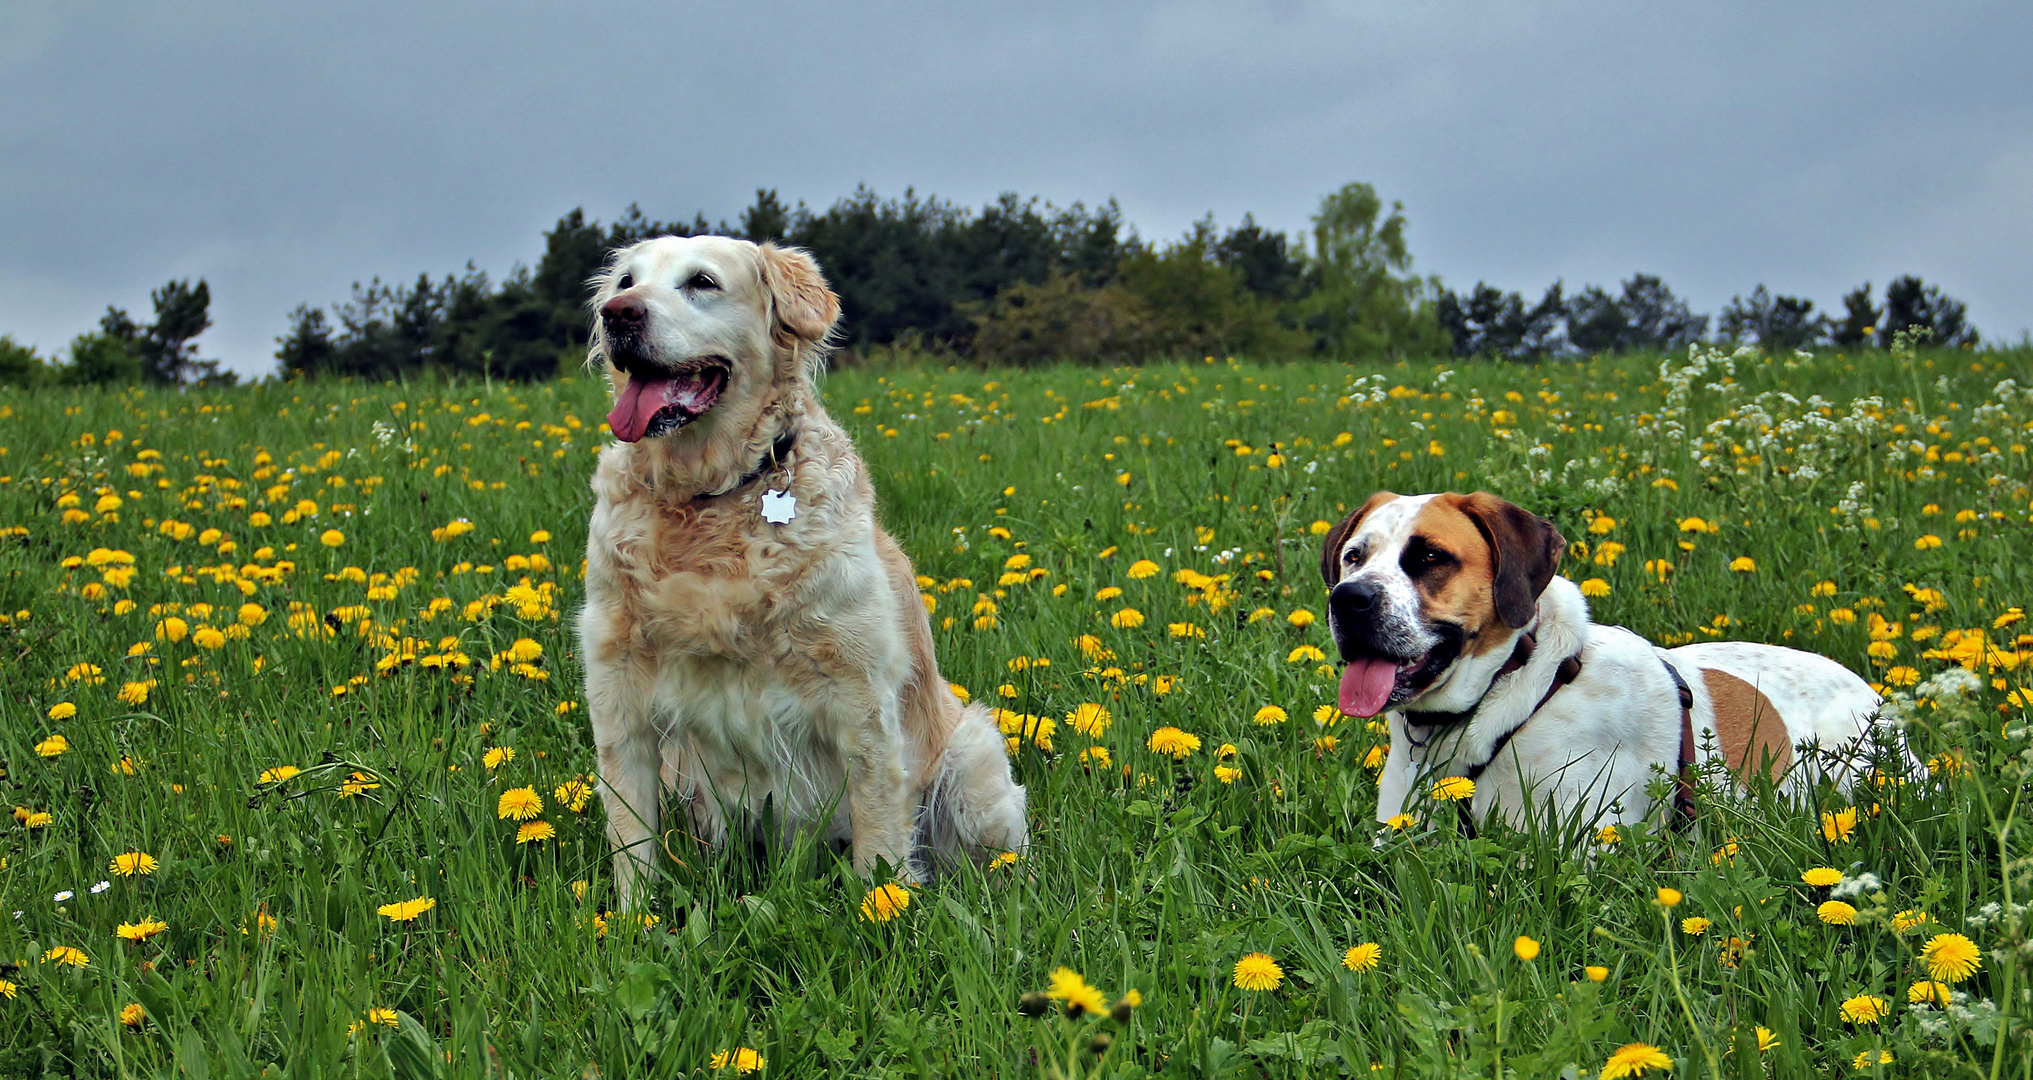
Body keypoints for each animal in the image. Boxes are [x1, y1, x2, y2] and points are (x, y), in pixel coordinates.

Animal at [577, 238, 1024, 911]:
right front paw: (635, 922)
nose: (618, 314)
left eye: (701, 282)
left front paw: (882, 912)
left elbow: (879, 835)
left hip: (972, 756)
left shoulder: (861, 696)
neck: (710, 498)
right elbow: (632, 841)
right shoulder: (618, 693)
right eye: (626, 281)